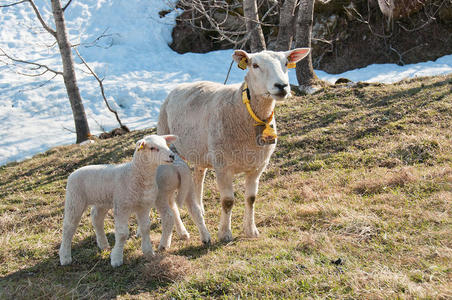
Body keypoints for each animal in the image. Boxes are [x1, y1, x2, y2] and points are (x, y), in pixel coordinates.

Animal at [57, 134, 210, 268]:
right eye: (152, 148)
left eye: (165, 144)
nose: (171, 156)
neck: (133, 174)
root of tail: (73, 173)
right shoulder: (122, 207)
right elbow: (122, 233)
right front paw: (116, 258)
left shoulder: (143, 206)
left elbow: (146, 227)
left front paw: (148, 252)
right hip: (75, 200)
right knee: (69, 227)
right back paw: (65, 257)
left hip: (103, 201)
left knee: (96, 218)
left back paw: (103, 245)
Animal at [158, 48, 310, 243]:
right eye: (255, 65)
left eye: (286, 63)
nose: (282, 86)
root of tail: (177, 88)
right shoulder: (223, 166)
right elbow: (228, 201)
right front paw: (224, 234)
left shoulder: (257, 166)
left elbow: (251, 198)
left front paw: (251, 230)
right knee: (170, 197)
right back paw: (182, 232)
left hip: (201, 151)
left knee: (198, 175)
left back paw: (200, 208)